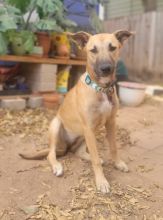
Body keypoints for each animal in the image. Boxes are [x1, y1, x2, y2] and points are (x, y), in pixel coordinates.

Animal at [19, 30, 133, 193]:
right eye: (93, 50)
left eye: (113, 47)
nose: (106, 68)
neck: (101, 89)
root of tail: (65, 147)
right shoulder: (89, 126)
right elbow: (96, 160)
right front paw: (101, 181)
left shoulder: (110, 123)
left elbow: (113, 147)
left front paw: (118, 163)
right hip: (57, 125)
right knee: (51, 154)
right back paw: (57, 166)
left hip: (87, 134)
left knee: (79, 152)